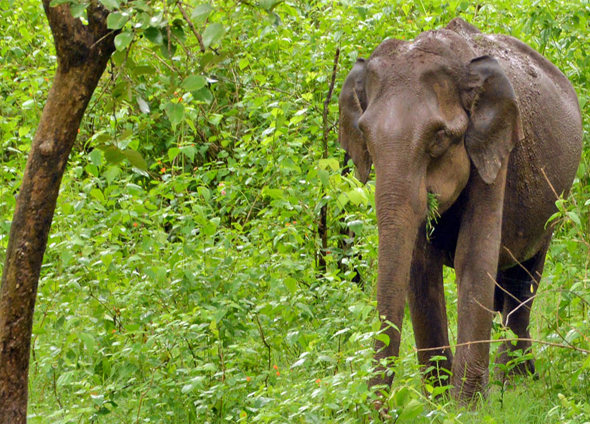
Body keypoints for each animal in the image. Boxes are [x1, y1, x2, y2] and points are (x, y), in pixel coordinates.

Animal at [338, 17, 583, 402]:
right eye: (365, 136)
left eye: (439, 138)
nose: (378, 408)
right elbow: (420, 267)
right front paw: (436, 401)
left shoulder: (495, 149)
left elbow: (474, 253)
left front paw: (465, 405)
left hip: (554, 206)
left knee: (523, 281)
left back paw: (514, 384)